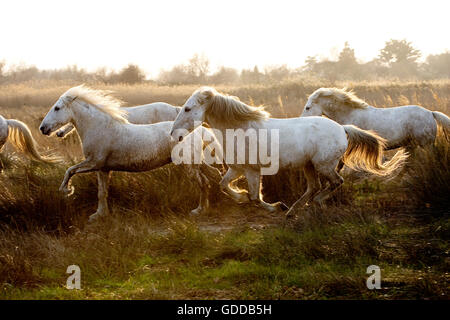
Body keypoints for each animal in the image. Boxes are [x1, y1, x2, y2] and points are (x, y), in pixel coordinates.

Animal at [39, 86, 219, 221]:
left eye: (57, 108)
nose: (43, 128)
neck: (99, 127)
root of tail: (198, 130)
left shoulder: (94, 162)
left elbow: (70, 171)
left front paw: (67, 191)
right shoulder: (103, 169)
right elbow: (102, 192)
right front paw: (99, 215)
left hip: (189, 166)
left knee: (204, 183)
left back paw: (199, 210)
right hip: (198, 163)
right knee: (213, 175)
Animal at [170, 86, 408, 216]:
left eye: (188, 109)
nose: (175, 135)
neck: (240, 130)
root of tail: (343, 128)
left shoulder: (252, 170)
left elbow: (255, 197)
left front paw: (275, 206)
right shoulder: (237, 168)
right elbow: (223, 185)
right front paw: (242, 197)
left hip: (324, 165)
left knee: (335, 183)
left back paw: (310, 204)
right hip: (309, 166)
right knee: (314, 187)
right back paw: (294, 211)